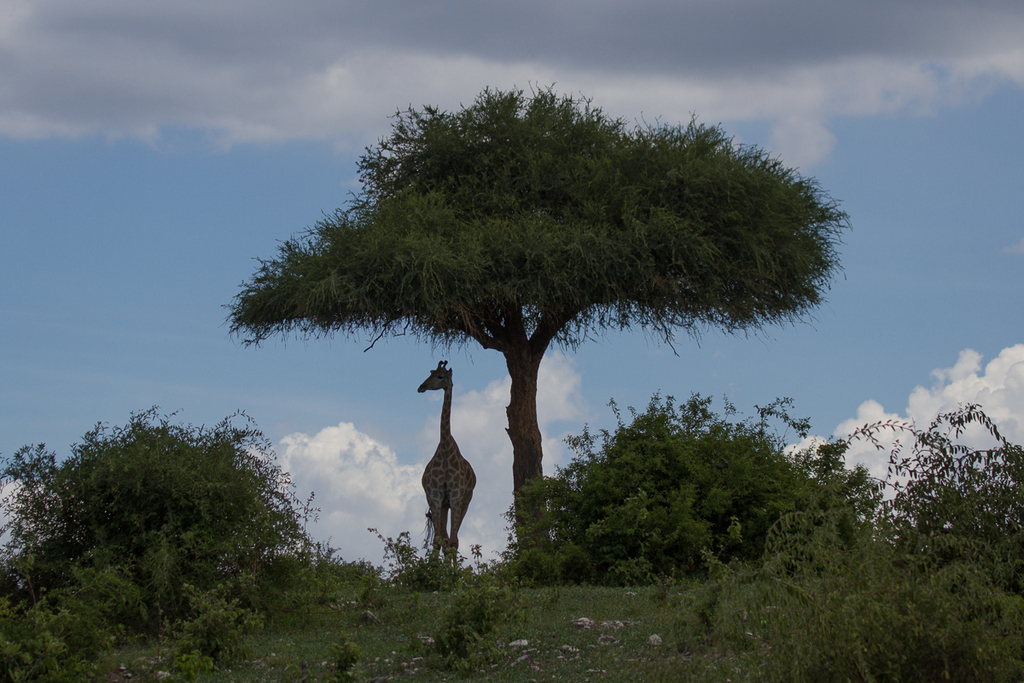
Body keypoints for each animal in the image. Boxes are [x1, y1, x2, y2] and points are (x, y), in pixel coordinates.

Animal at [418, 361, 477, 553]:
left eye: (440, 376)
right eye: (430, 372)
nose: (421, 387)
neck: (444, 449)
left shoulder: (456, 497)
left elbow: (452, 542)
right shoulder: (435, 497)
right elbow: (438, 540)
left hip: (465, 501)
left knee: (454, 539)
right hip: (443, 504)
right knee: (444, 538)